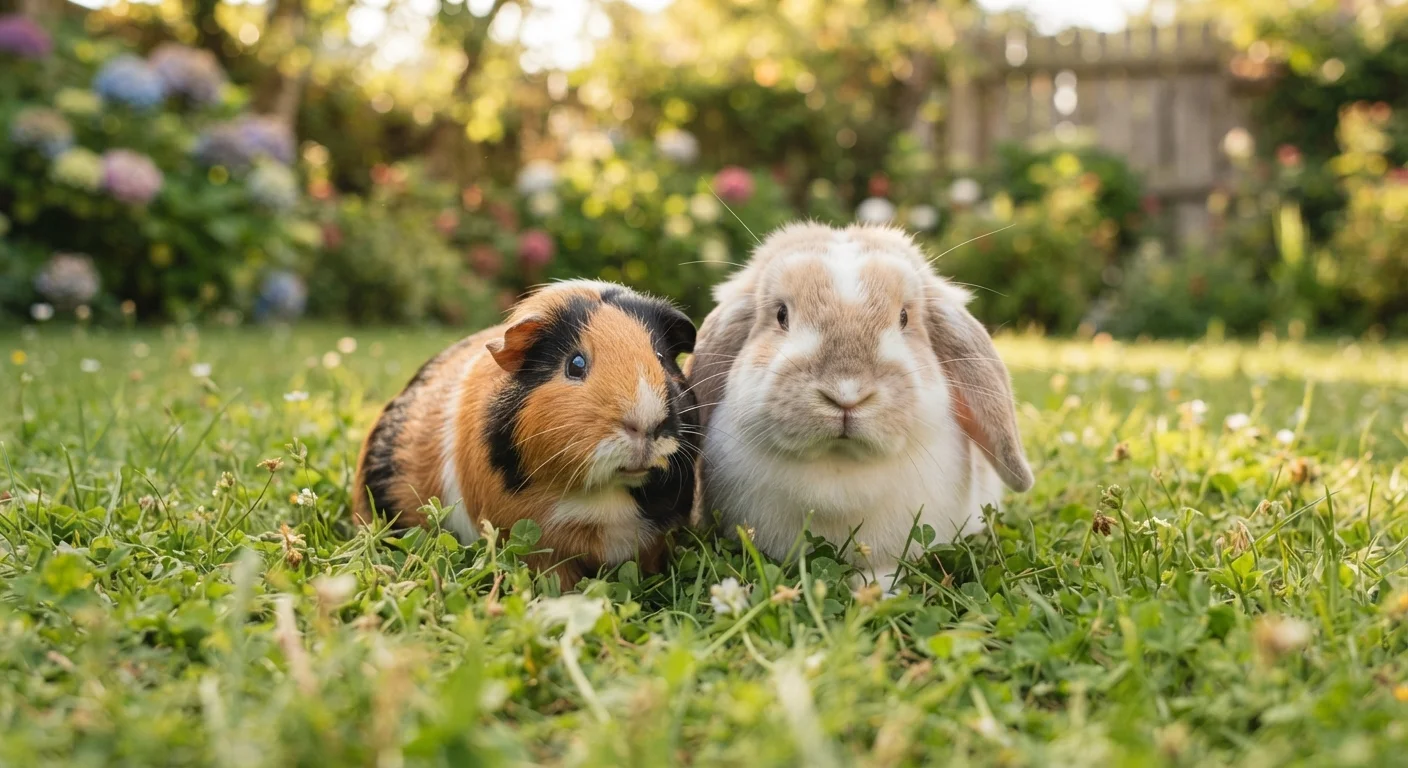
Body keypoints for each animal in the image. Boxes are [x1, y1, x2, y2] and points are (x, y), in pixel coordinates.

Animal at [352, 280, 700, 588]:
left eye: (661, 359)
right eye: (575, 364)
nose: (646, 423)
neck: (605, 496)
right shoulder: (539, 546)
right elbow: (555, 578)